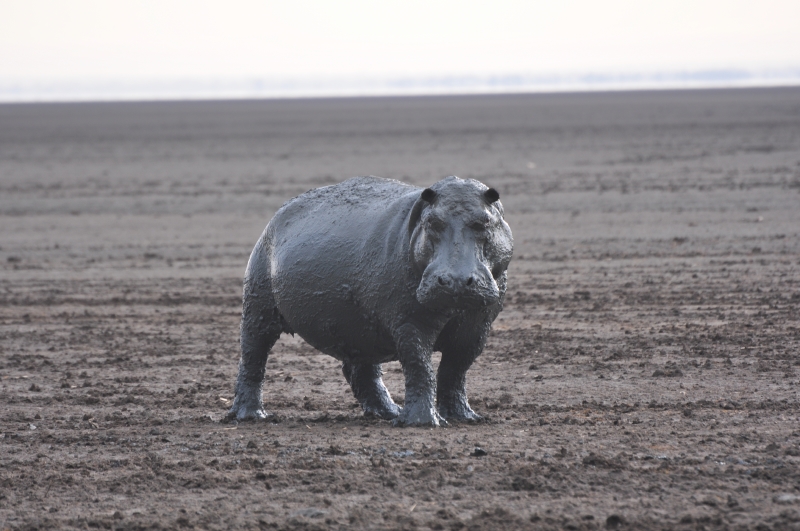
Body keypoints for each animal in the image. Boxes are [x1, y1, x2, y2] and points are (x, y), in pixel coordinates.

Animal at [227, 176, 513, 426]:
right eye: (432, 222)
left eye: (484, 222)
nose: (454, 281)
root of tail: (277, 215)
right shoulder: (409, 321)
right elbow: (420, 367)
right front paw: (423, 423)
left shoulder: (477, 326)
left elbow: (456, 369)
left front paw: (466, 418)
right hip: (258, 304)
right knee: (253, 355)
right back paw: (251, 417)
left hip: (357, 324)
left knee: (362, 369)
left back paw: (388, 412)